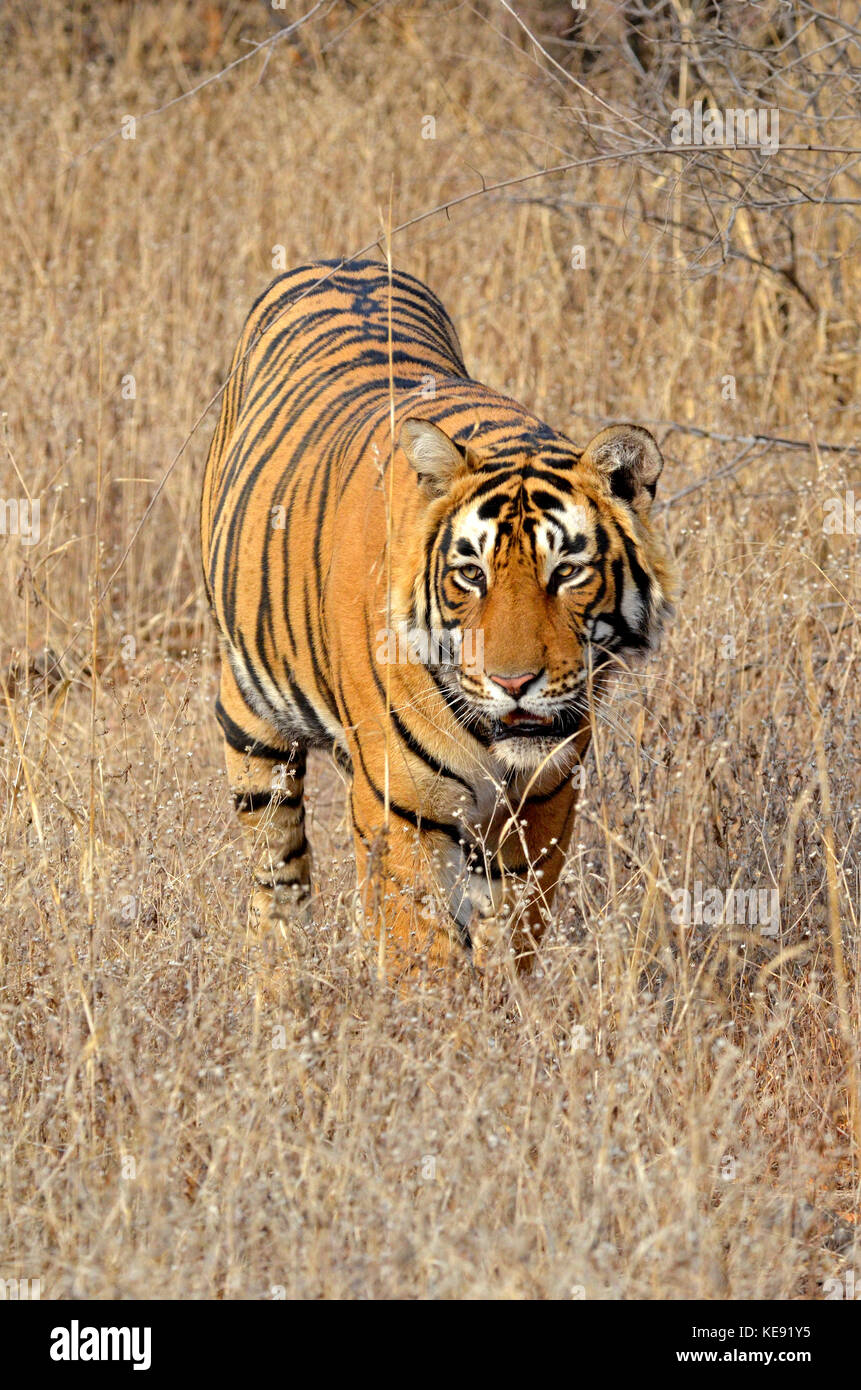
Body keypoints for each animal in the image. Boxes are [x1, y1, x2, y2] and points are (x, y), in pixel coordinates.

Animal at [200, 258, 673, 978]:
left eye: (566, 571)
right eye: (470, 575)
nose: (514, 684)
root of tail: (338, 261)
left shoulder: (541, 808)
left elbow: (510, 945)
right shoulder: (404, 814)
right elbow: (425, 958)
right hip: (254, 735)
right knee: (278, 880)